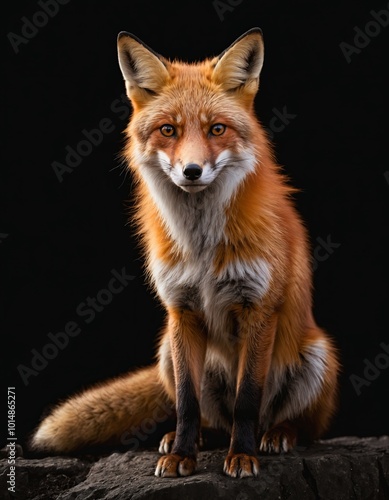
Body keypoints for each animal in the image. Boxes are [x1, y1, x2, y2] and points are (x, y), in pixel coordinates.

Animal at [31, 29, 338, 478]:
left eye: (216, 129)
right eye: (168, 130)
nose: (191, 171)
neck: (201, 246)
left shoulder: (258, 308)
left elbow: (247, 400)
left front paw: (242, 456)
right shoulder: (182, 310)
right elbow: (187, 403)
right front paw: (181, 455)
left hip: (316, 355)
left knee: (293, 423)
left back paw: (277, 434)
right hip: (165, 351)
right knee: (211, 416)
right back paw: (195, 438)